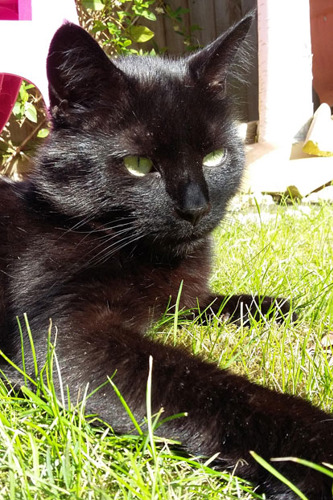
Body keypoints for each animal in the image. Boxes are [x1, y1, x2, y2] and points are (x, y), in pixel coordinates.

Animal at [0, 13, 330, 498]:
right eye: (138, 164)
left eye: (214, 157)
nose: (195, 207)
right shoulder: (61, 332)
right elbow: (206, 388)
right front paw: (315, 448)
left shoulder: (178, 296)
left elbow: (201, 300)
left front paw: (272, 306)